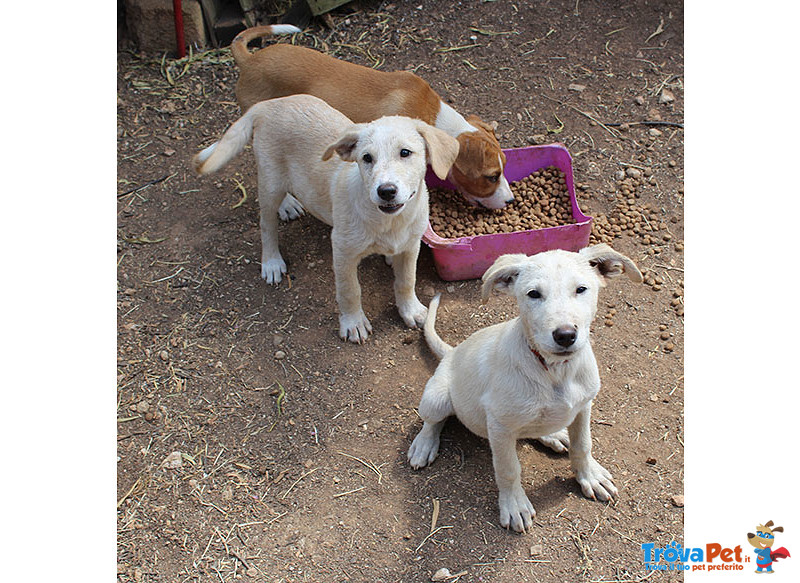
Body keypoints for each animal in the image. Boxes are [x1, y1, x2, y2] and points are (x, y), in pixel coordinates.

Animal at [191, 94, 460, 342]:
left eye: (405, 153)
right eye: (366, 158)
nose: (386, 191)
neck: (388, 221)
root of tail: (270, 104)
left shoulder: (411, 245)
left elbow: (406, 280)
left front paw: (411, 310)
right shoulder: (342, 250)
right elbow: (350, 290)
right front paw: (353, 323)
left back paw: (289, 205)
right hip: (269, 181)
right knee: (267, 225)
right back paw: (272, 261)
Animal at [228, 26, 512, 212]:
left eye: (504, 168)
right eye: (491, 176)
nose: (510, 201)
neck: (434, 116)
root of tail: (250, 60)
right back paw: (286, 204)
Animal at [410, 246, 640, 532]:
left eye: (581, 289)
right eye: (533, 294)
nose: (565, 335)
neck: (554, 370)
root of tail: (451, 352)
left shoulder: (583, 406)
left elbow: (583, 444)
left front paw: (589, 476)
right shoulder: (499, 426)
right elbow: (509, 469)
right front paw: (514, 505)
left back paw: (554, 435)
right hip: (438, 398)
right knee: (433, 421)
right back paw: (424, 444)